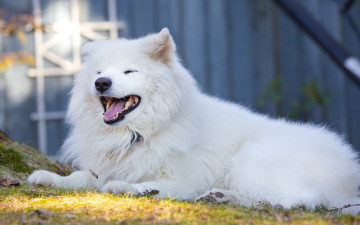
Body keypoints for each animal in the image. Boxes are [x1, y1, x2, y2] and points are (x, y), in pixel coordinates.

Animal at [28, 28, 360, 213]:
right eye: (98, 72)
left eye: (129, 71)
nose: (101, 83)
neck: (136, 133)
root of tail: (349, 164)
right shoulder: (104, 166)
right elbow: (80, 177)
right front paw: (48, 178)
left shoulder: (184, 179)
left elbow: (145, 185)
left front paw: (122, 187)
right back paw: (221, 197)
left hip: (253, 161)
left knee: (312, 198)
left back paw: (285, 206)